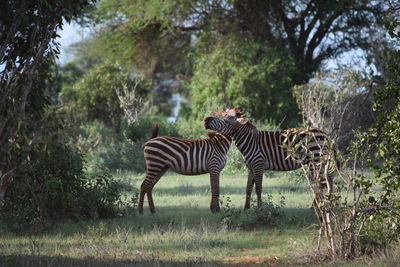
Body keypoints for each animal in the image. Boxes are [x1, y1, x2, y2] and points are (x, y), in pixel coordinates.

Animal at [203, 108, 334, 210]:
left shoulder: (258, 165)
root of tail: (325, 134)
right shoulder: (250, 167)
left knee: (321, 183)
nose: (205, 120)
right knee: (328, 181)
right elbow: (248, 188)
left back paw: (316, 207)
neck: (250, 141)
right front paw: (246, 208)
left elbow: (258, 188)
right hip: (322, 161)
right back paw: (328, 203)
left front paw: (260, 208)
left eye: (225, 120)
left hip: (315, 160)